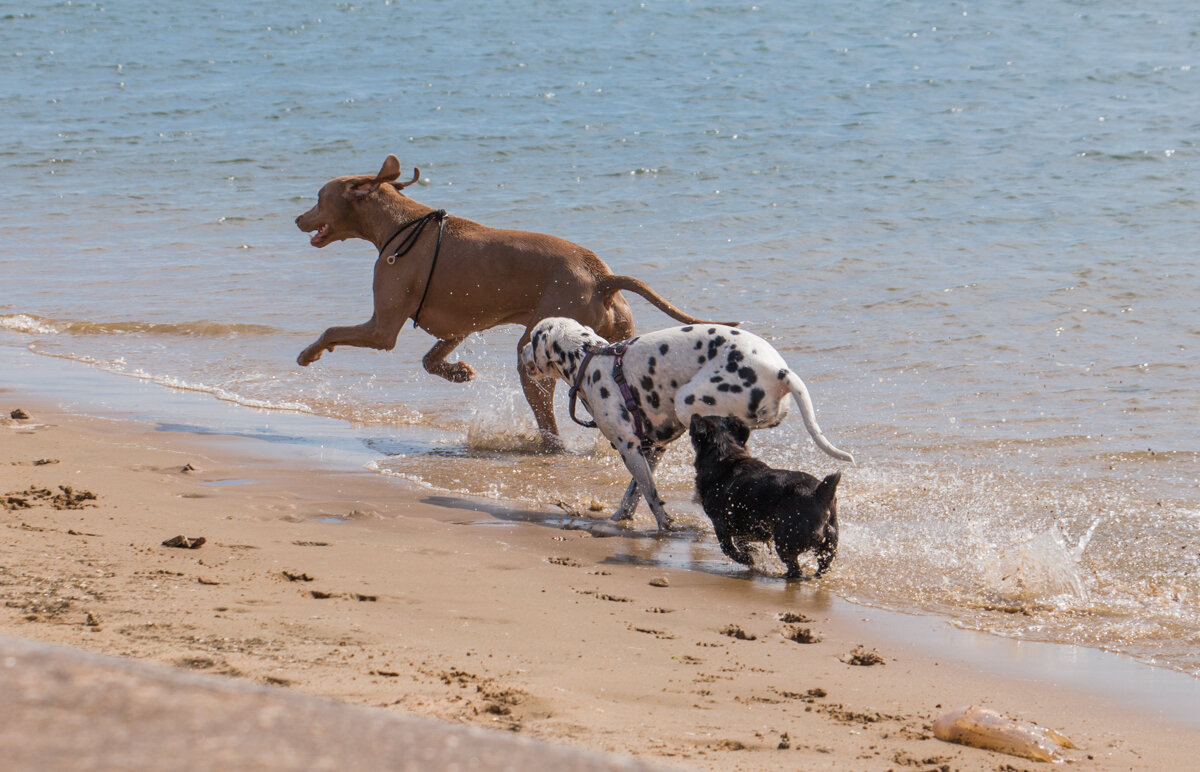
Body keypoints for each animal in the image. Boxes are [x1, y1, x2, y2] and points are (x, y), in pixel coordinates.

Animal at [295, 153, 715, 449]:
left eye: (318, 197)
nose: (298, 218)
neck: (399, 225)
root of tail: (602, 278)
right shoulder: (460, 325)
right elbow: (430, 360)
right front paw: (459, 372)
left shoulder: (382, 329)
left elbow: (332, 330)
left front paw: (309, 353)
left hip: (535, 353)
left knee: (551, 428)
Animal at [518, 314, 854, 530]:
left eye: (533, 338)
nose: (520, 351)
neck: (589, 359)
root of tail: (781, 372)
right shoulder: (652, 450)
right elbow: (634, 494)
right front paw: (620, 519)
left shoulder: (630, 449)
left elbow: (650, 494)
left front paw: (663, 525)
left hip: (687, 401)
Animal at [691, 417, 840, 581]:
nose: (693, 415)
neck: (726, 456)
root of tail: (819, 492)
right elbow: (741, 542)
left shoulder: (720, 524)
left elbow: (728, 548)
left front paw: (748, 559)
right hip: (830, 542)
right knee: (823, 565)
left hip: (786, 539)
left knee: (795, 568)